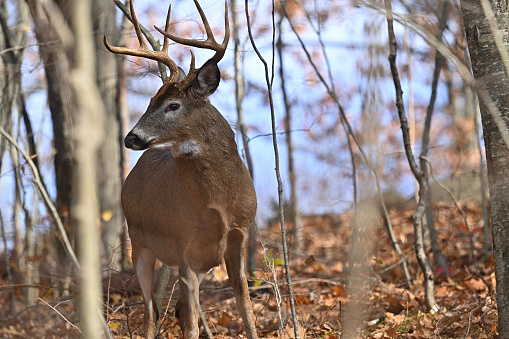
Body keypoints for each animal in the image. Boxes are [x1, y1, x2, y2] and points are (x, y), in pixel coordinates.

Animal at [103, 1, 258, 338]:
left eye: (173, 105)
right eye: (150, 99)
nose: (130, 137)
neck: (219, 204)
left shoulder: (239, 235)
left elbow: (246, 310)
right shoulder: (184, 245)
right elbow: (190, 325)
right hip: (139, 242)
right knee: (151, 311)